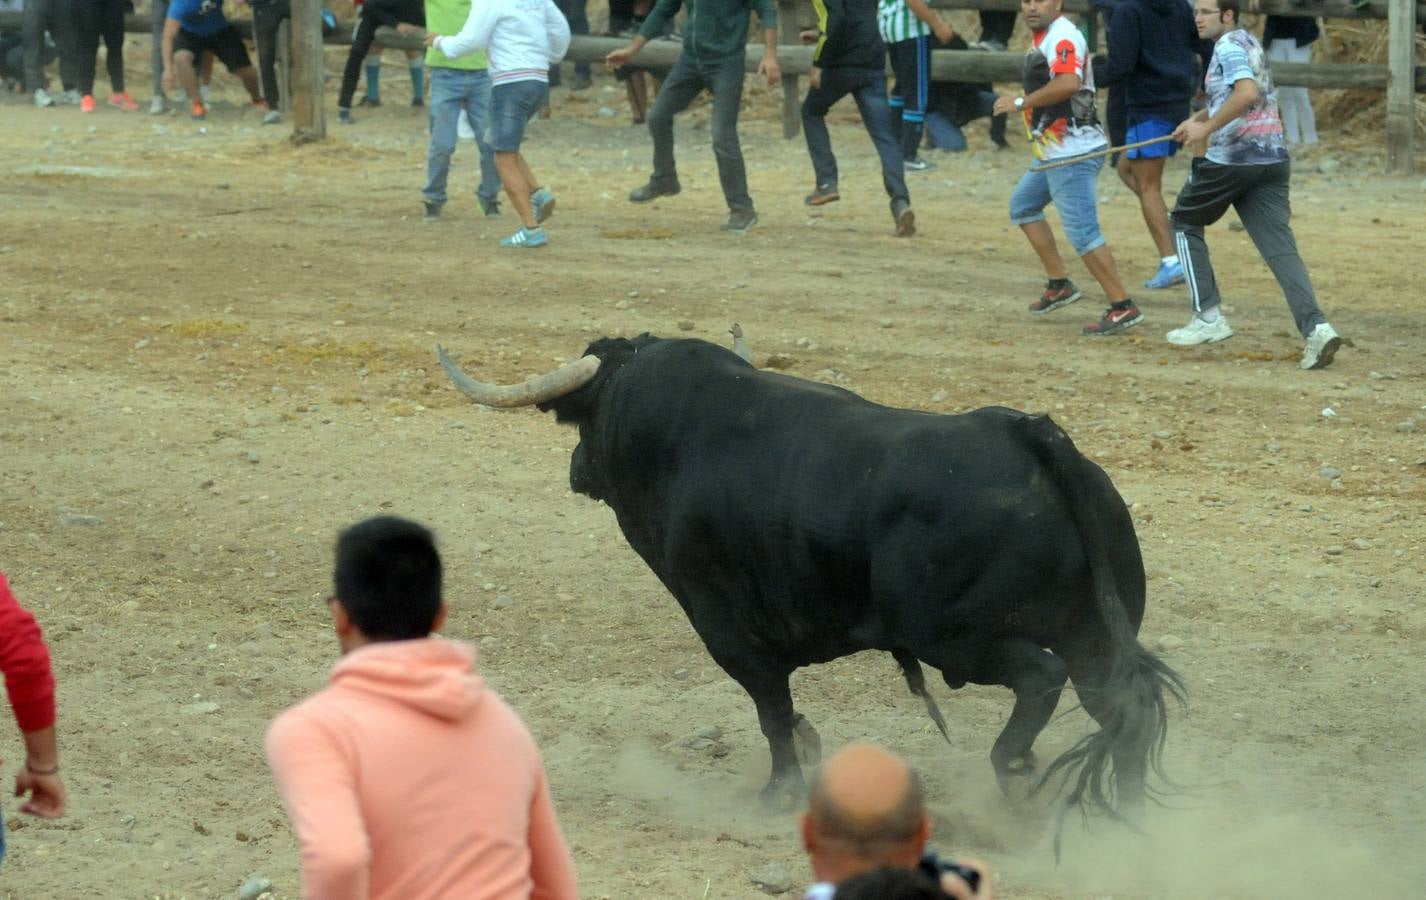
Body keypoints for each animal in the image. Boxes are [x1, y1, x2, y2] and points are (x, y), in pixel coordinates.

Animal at [439, 336, 1186, 821]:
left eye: (586, 417)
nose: (576, 469)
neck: (674, 434)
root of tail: (1031, 435)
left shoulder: (727, 629)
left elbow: (771, 709)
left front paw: (779, 793)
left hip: (956, 637)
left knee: (1042, 679)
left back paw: (1019, 775)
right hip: (1094, 636)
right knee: (1122, 708)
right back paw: (1125, 816)